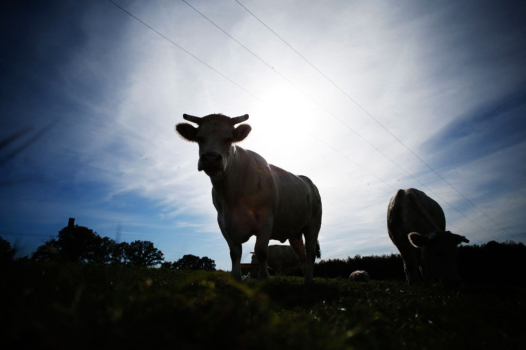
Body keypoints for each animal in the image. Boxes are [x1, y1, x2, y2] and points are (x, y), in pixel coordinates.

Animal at [176, 113, 322, 284]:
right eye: (199, 138)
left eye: (229, 138)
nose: (211, 158)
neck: (232, 196)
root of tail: (307, 181)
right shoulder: (223, 222)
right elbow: (235, 253)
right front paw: (235, 278)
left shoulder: (266, 220)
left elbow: (261, 251)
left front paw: (264, 278)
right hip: (294, 232)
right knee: (301, 256)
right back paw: (306, 280)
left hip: (313, 224)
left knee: (310, 252)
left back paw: (310, 279)